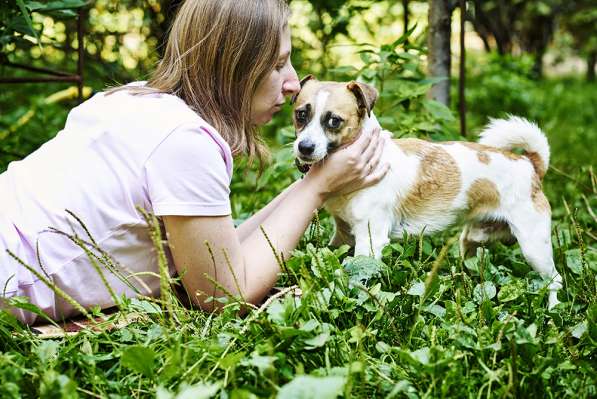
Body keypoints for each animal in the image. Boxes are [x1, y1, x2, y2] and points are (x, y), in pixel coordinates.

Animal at [292, 77, 560, 310]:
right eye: (300, 114)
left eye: (334, 121)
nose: (304, 147)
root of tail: (530, 164)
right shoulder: (344, 236)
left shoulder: (370, 241)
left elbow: (361, 275)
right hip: (473, 241)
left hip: (534, 247)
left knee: (554, 280)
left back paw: (552, 310)